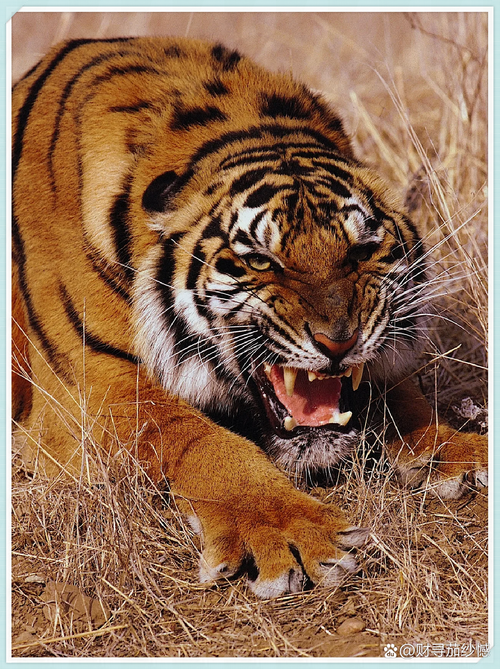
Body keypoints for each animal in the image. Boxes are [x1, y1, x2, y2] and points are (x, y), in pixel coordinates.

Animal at [12, 37, 488, 599]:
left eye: (362, 250)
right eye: (262, 260)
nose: (339, 341)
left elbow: (398, 397)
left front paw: (460, 452)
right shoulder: (89, 389)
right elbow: (195, 439)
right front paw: (292, 529)